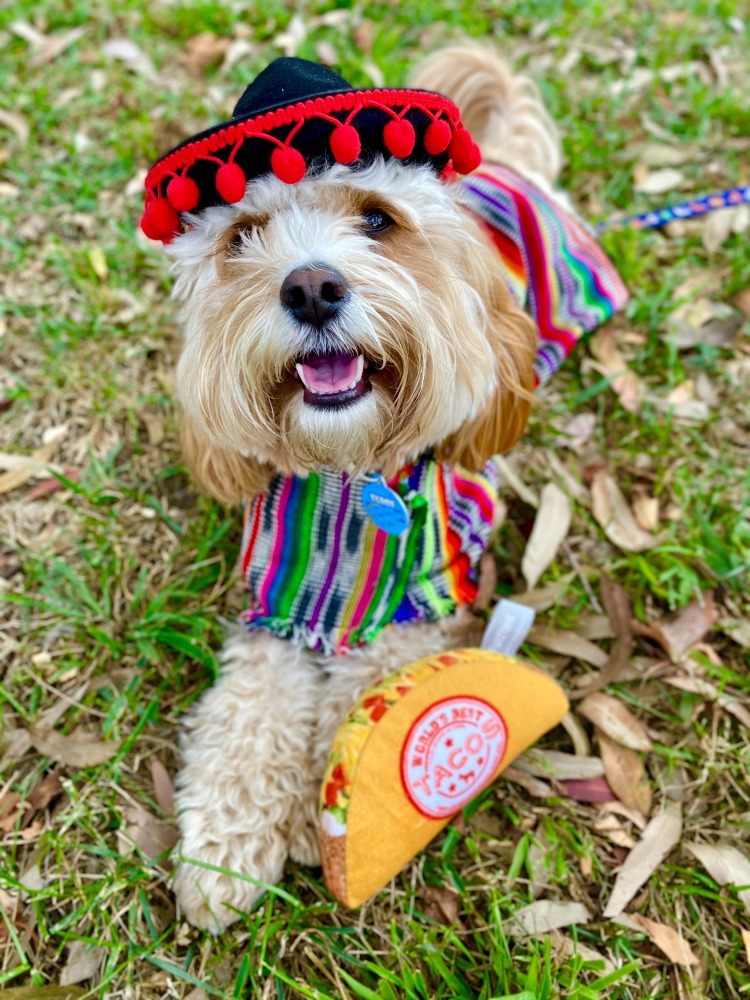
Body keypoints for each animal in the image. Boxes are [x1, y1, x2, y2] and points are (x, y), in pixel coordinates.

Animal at [140, 41, 628, 928]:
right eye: (243, 237)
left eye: (376, 220)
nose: (311, 287)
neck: (347, 476)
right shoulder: (274, 594)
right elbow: (249, 709)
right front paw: (228, 843)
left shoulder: (426, 591)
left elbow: (368, 691)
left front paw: (324, 810)